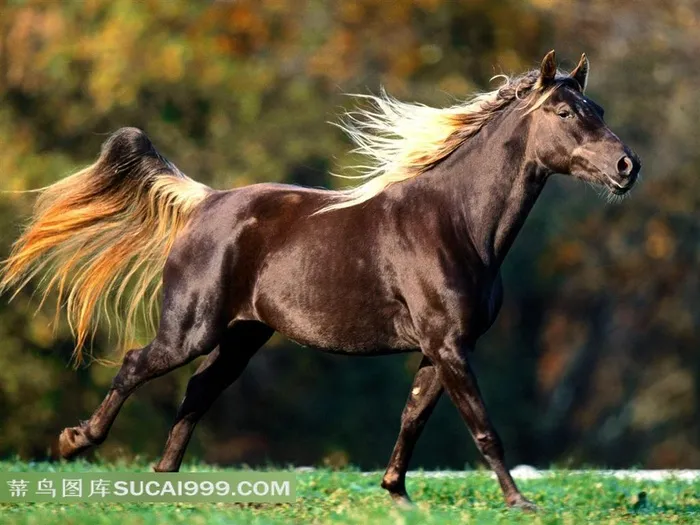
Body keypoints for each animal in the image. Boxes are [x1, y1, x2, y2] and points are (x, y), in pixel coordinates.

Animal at [1, 51, 640, 510]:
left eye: (601, 109)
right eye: (565, 113)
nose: (626, 167)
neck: (457, 222)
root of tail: (206, 202)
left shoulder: (443, 349)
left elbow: (413, 417)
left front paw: (396, 494)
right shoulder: (449, 346)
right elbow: (482, 427)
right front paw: (520, 502)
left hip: (242, 336)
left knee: (198, 392)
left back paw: (167, 482)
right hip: (191, 330)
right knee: (138, 364)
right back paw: (79, 441)